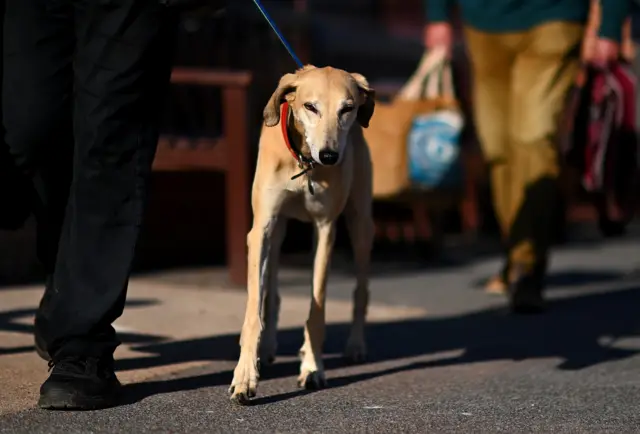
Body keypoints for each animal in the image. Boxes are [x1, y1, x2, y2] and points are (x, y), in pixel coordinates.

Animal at [231, 65, 376, 404]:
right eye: (311, 106)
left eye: (347, 108)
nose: (330, 156)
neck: (303, 163)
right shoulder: (262, 228)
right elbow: (253, 310)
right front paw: (245, 376)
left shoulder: (325, 229)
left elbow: (317, 310)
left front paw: (312, 367)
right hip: (278, 231)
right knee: (270, 290)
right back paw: (269, 347)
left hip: (360, 224)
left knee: (361, 289)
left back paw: (356, 345)